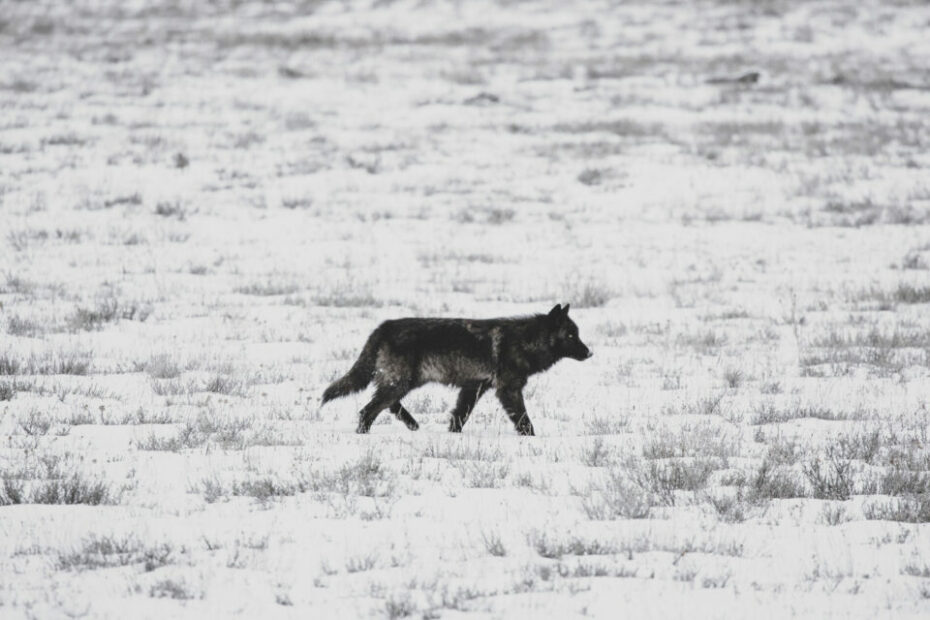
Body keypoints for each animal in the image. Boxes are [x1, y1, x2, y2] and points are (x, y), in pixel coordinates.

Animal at [322, 306, 592, 436]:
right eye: (571, 335)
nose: (590, 353)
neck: (525, 340)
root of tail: (384, 326)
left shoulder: (473, 387)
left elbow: (459, 416)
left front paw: (453, 437)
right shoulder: (508, 390)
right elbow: (524, 421)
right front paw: (532, 439)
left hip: (403, 382)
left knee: (386, 404)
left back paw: (412, 424)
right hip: (401, 383)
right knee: (368, 410)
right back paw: (365, 435)